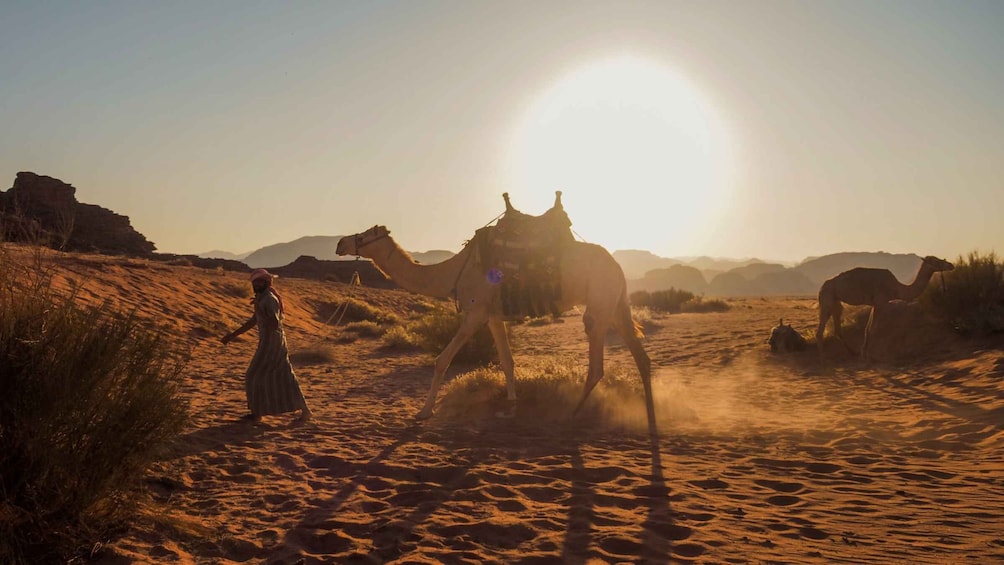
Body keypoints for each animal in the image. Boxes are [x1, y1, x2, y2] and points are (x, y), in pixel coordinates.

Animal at [333, 207, 654, 425]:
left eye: (364, 234)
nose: (340, 243)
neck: (454, 271)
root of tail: (616, 265)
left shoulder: (475, 312)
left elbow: (442, 360)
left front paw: (424, 412)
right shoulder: (493, 316)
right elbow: (507, 361)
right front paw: (510, 405)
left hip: (599, 302)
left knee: (598, 363)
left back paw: (574, 413)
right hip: (615, 305)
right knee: (641, 357)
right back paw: (651, 415)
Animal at [811, 254, 951, 361]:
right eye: (936, 261)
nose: (950, 265)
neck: (897, 288)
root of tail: (821, 287)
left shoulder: (876, 304)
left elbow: (868, 328)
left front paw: (863, 353)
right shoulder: (880, 302)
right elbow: (873, 329)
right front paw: (868, 356)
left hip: (836, 302)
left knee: (837, 328)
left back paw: (853, 353)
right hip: (827, 299)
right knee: (820, 330)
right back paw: (823, 358)